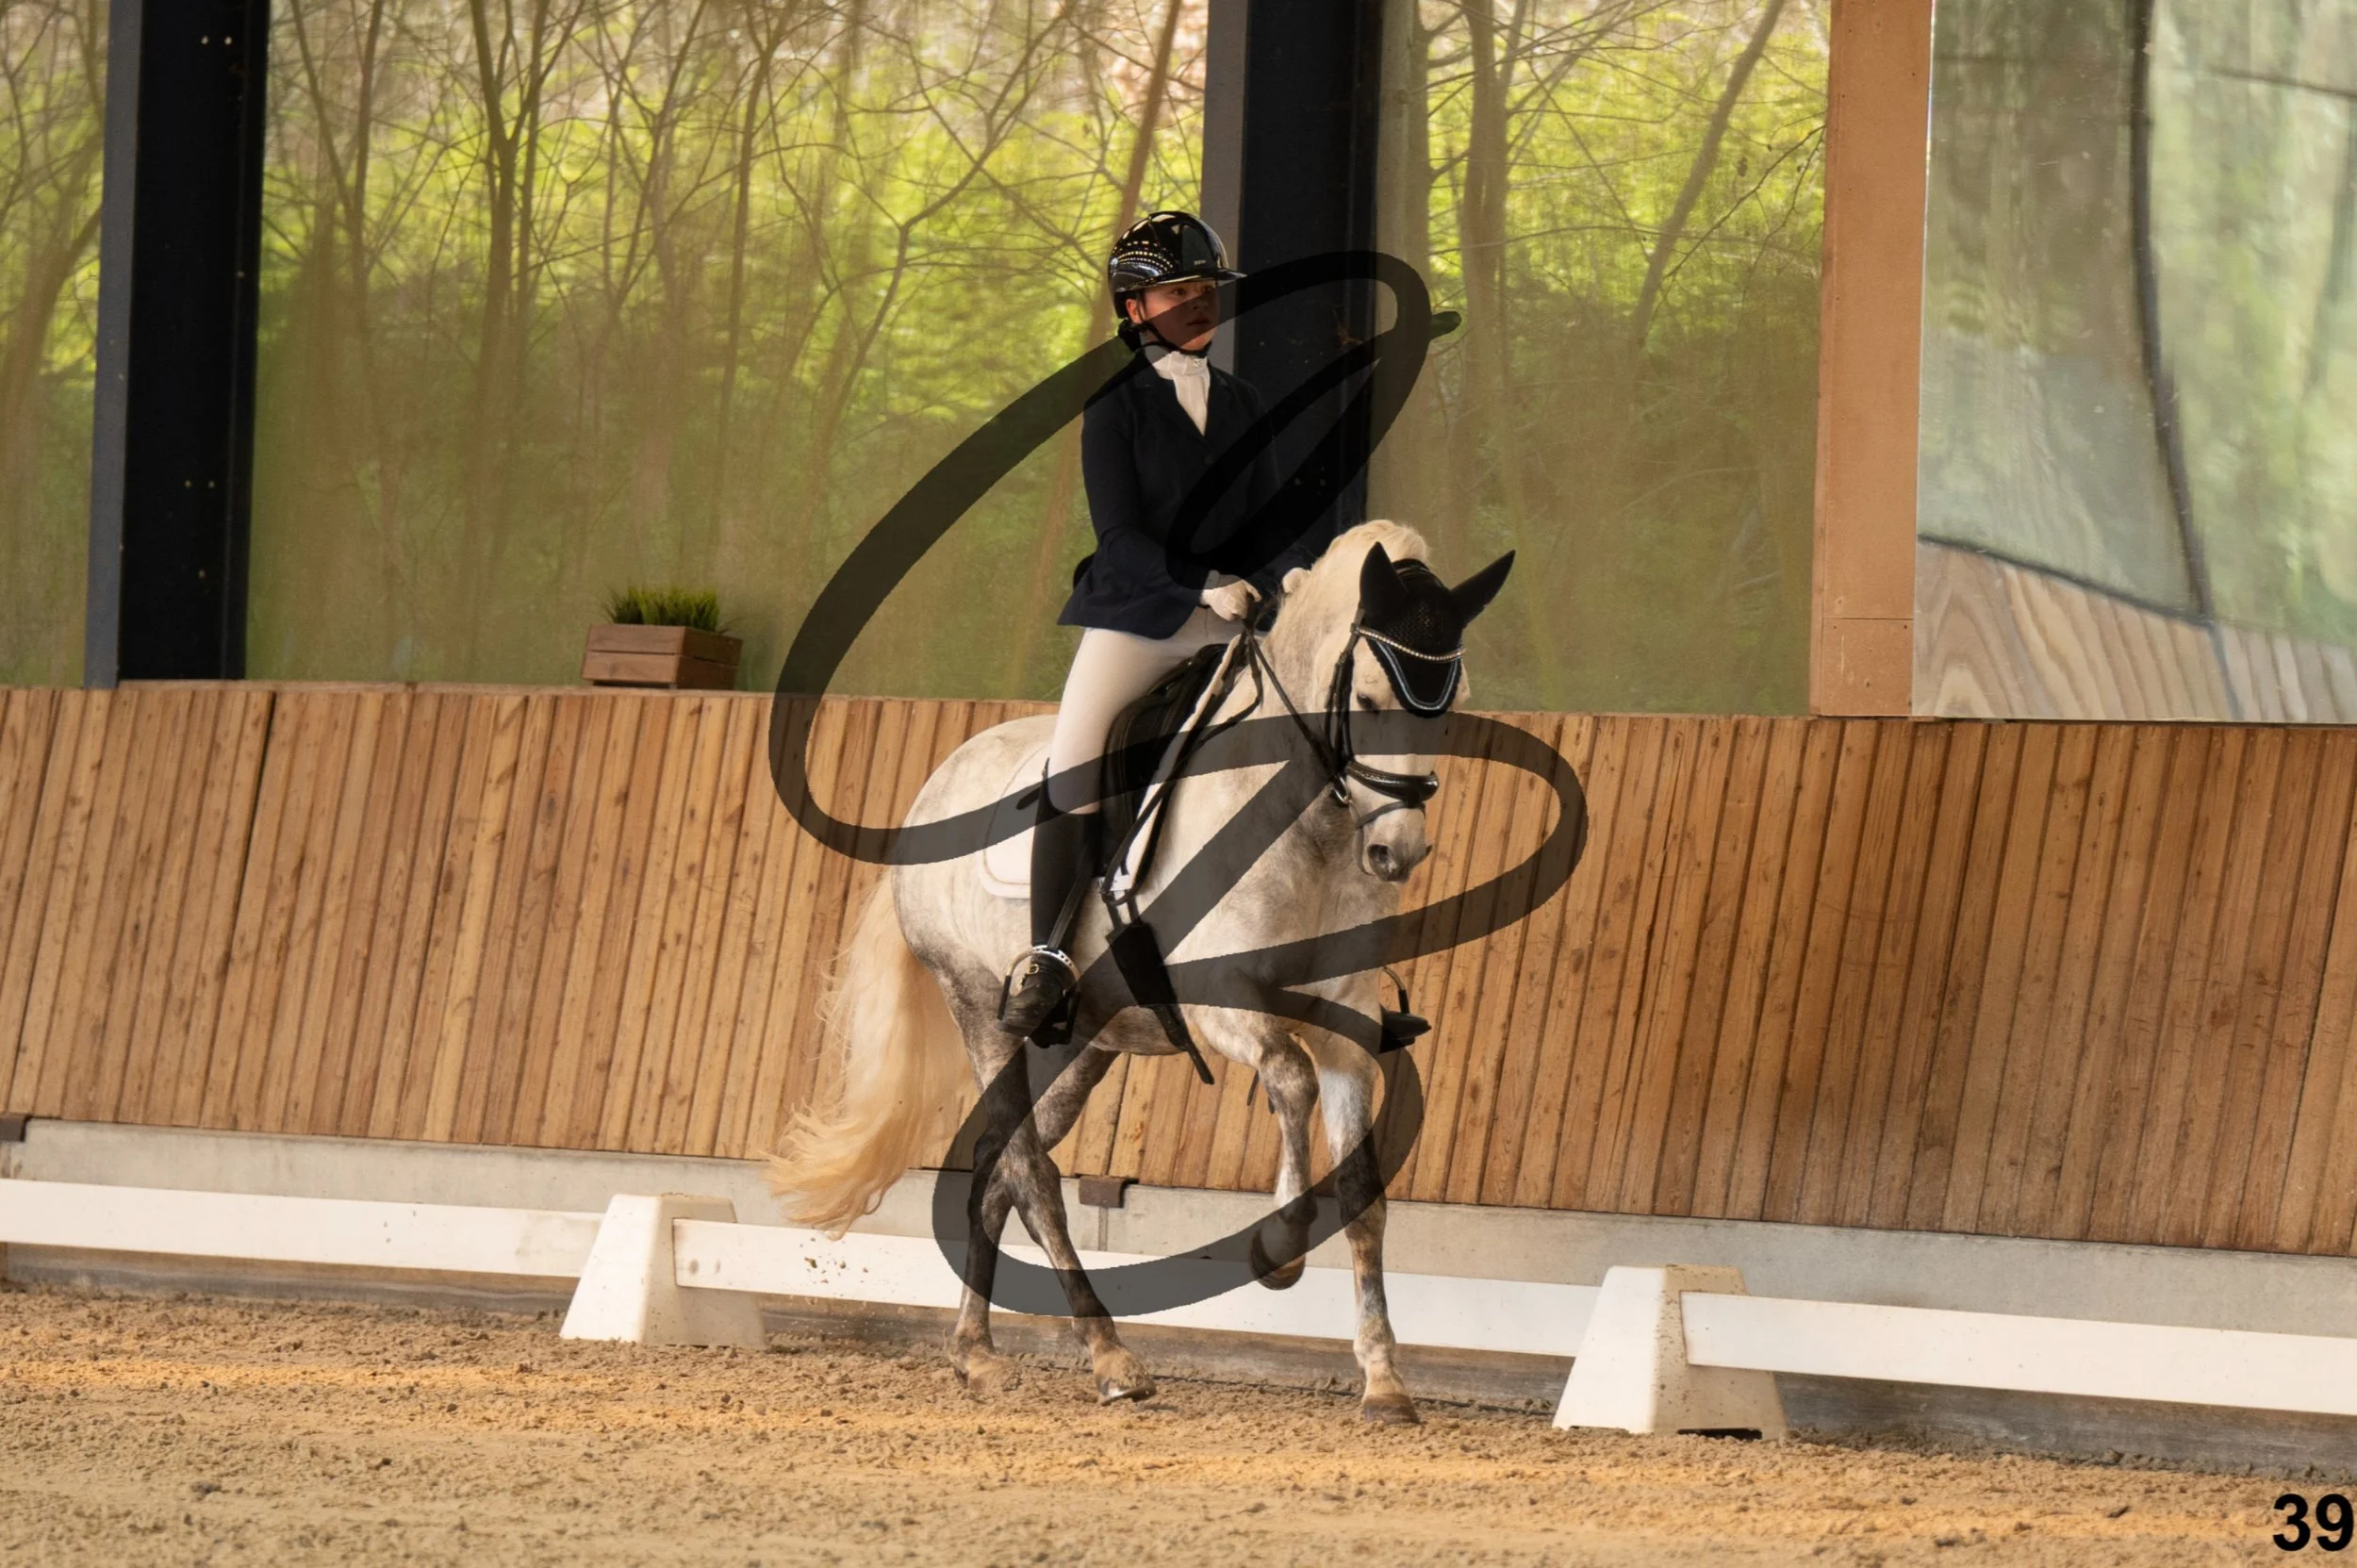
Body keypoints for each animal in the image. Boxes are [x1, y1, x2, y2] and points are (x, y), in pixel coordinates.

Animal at [767, 520, 1512, 1424]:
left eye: (1451, 705)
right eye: (1368, 699)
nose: (1396, 853)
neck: (1303, 825)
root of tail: (929, 796)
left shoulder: (1349, 1017)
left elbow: (1365, 1188)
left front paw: (1384, 1380)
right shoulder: (1220, 1000)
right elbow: (1290, 1079)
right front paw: (1279, 1246)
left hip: (1081, 1045)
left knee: (993, 1165)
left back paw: (976, 1352)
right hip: (980, 1010)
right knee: (1032, 1172)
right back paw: (1111, 1356)